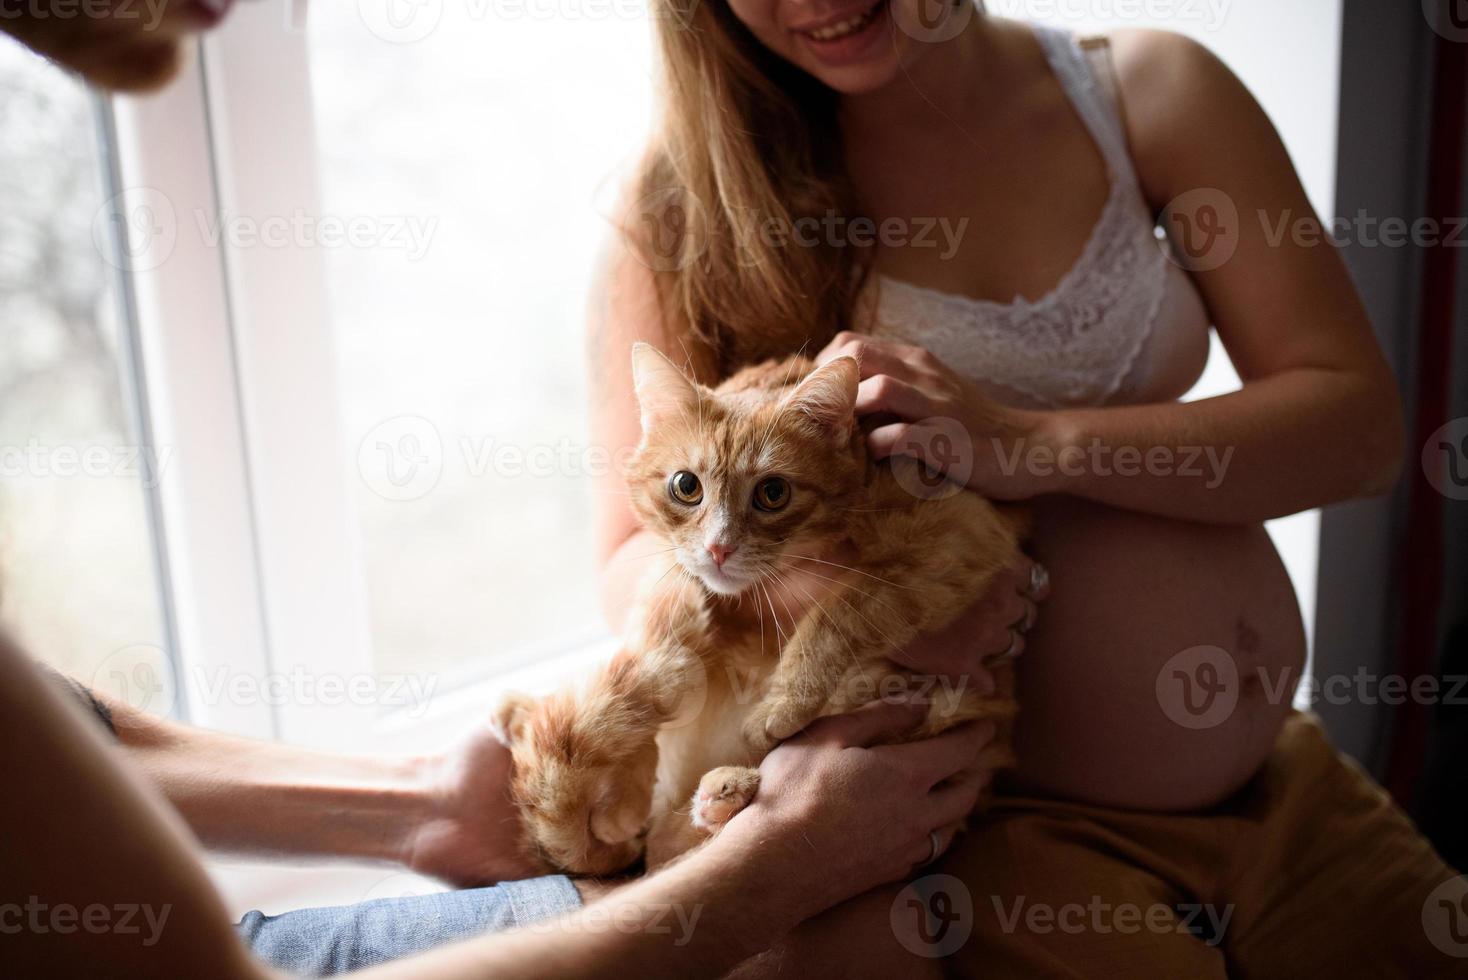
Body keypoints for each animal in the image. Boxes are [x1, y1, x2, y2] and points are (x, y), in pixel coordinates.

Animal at [493, 343, 1021, 874]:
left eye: (773, 493)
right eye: (686, 486)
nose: (718, 548)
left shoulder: (956, 538)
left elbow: (837, 613)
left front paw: (782, 704)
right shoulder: (670, 577)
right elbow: (648, 667)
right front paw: (621, 793)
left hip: (934, 703)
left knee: (667, 841)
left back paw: (722, 792)